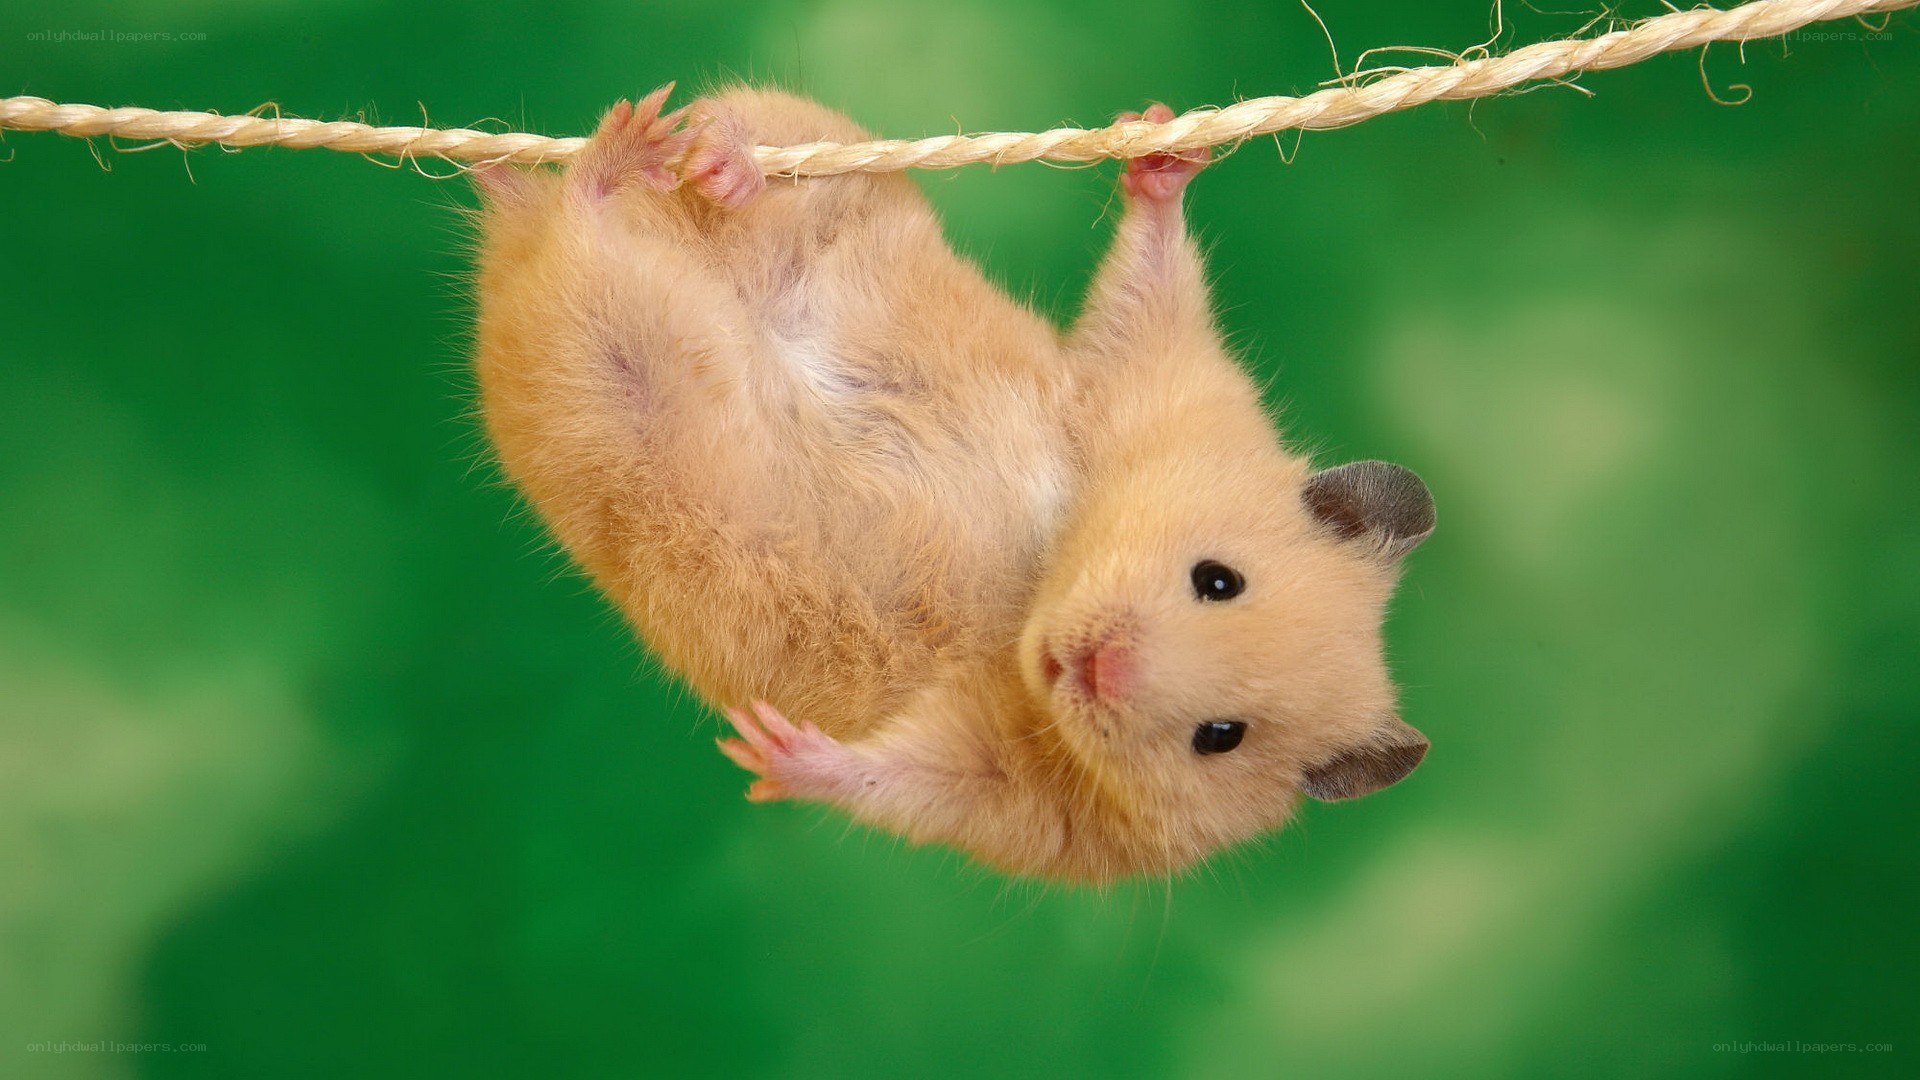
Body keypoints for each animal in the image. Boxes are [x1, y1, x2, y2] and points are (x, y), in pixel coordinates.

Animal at [469, 86, 1435, 883]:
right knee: (738, 152)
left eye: (1220, 738)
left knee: (578, 245)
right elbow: (1148, 288)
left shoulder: (1016, 798)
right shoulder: (1147, 384)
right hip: (830, 171)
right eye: (1218, 580)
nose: (1094, 666)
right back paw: (687, 156)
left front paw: (769, 750)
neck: (1039, 589)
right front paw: (1163, 144)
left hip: (601, 370)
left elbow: (901, 778)